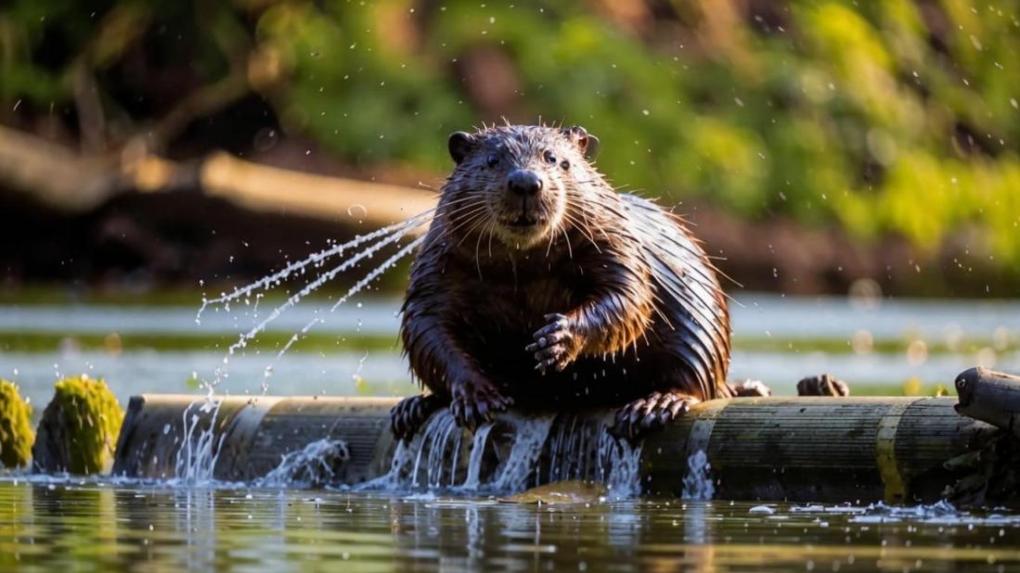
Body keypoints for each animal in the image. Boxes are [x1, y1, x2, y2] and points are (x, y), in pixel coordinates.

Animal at [391, 122, 771, 438]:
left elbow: (628, 297)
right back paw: (411, 409)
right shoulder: (437, 261)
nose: (526, 182)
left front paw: (555, 340)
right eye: (492, 160)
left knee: (696, 379)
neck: (524, 265)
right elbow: (427, 326)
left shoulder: (615, 242)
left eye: (556, 159)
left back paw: (652, 406)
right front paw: (477, 397)